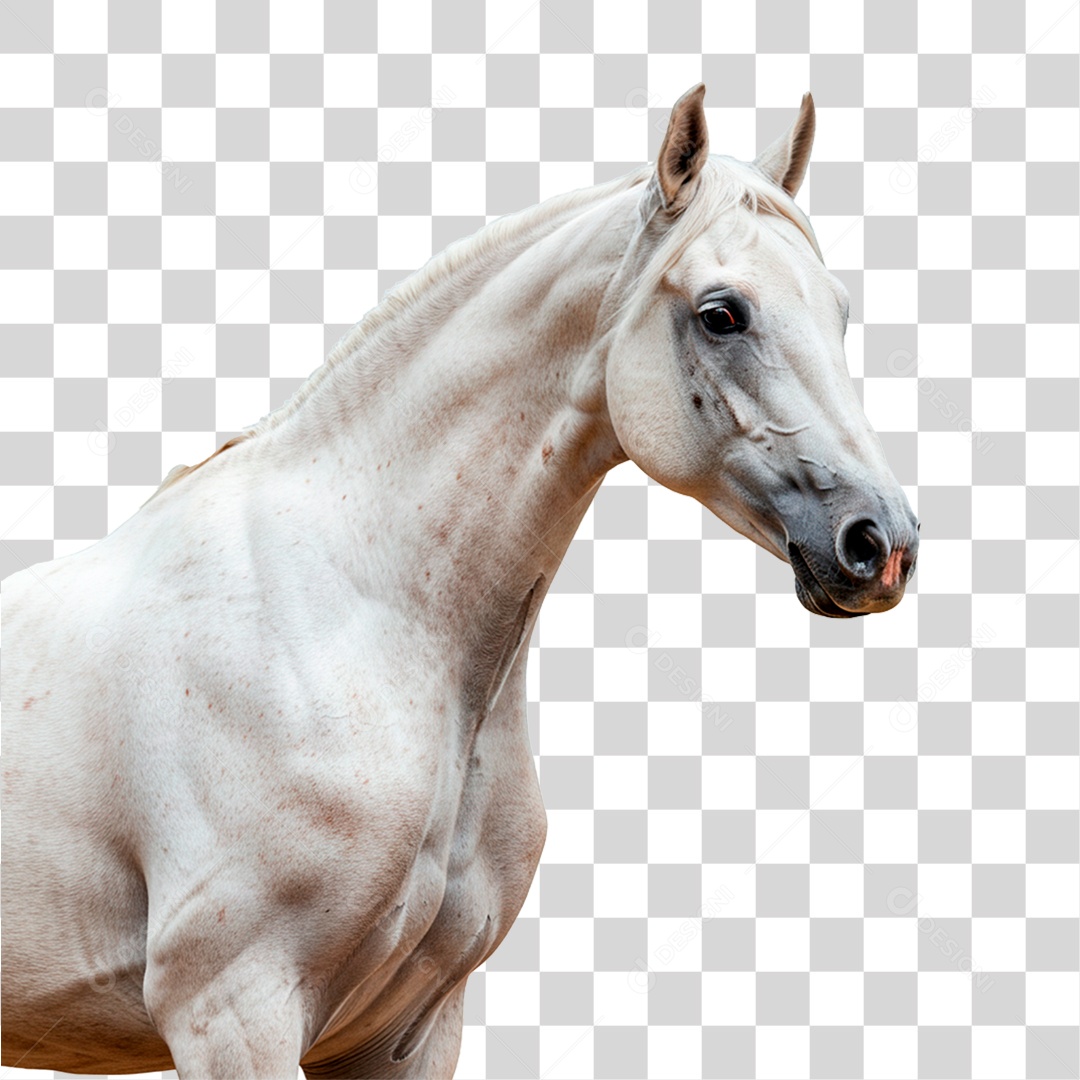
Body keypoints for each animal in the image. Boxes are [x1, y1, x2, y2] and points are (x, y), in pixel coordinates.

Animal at [1, 85, 917, 1079]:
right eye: (722, 313)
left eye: (839, 310)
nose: (881, 543)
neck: (348, 621)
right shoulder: (230, 1013)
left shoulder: (408, 1030)